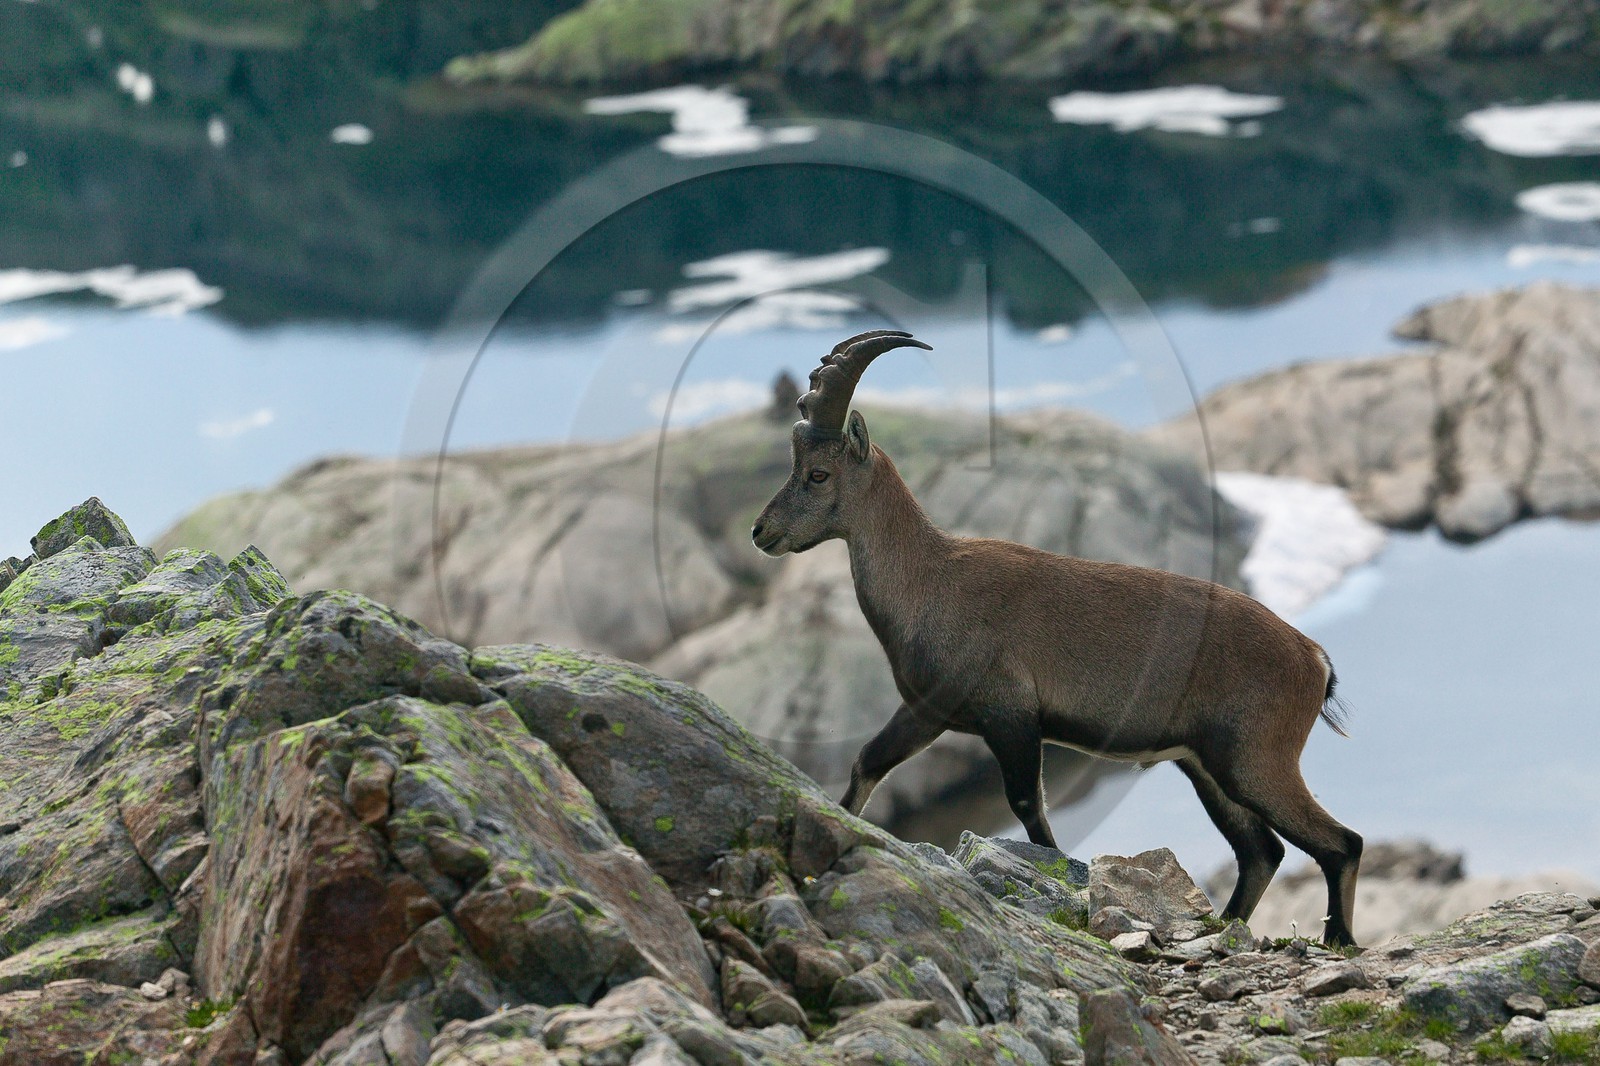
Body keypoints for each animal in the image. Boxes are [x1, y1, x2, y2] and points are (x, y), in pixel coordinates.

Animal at [751, 330, 1363, 946]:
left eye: (819, 474)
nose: (761, 531)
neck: (931, 580)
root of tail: (1314, 659)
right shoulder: (928, 711)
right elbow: (867, 764)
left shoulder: (1011, 716)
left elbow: (1029, 809)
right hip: (1207, 766)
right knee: (1261, 851)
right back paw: (1222, 928)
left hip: (1256, 760)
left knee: (1340, 843)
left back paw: (1337, 938)